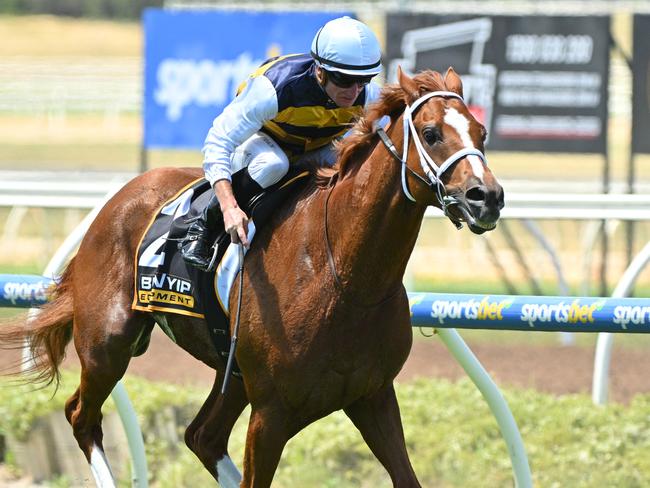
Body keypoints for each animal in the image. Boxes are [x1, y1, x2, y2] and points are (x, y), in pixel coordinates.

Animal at [0, 68, 502, 488]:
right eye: (432, 134)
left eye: (481, 133)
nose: (487, 197)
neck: (345, 276)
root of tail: (118, 199)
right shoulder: (272, 413)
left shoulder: (372, 396)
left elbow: (406, 476)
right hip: (108, 343)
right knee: (82, 417)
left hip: (233, 372)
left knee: (202, 436)